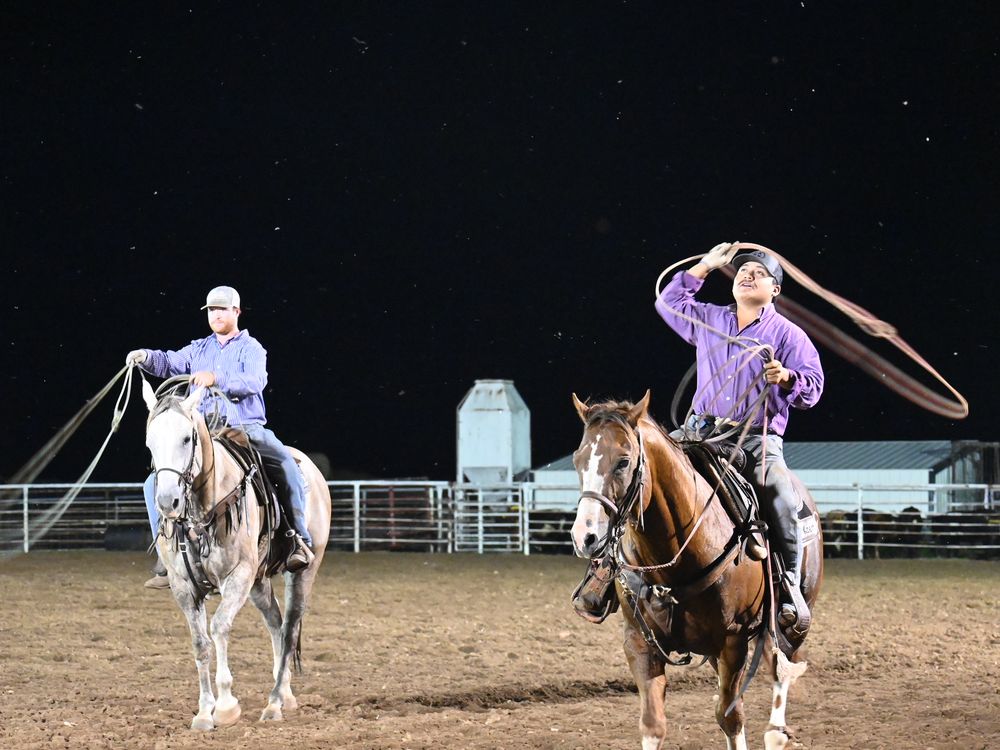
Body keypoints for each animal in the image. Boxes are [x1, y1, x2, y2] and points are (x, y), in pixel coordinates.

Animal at [141, 378, 332, 730]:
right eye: (150, 443)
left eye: (186, 438)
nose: (167, 502)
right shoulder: (184, 587)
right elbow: (200, 642)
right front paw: (204, 712)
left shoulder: (237, 576)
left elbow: (218, 628)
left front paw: (227, 705)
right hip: (258, 582)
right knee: (276, 623)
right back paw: (285, 694)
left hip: (302, 572)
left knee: (290, 628)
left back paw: (273, 704)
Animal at [569, 391, 822, 750]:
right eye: (578, 460)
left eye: (623, 461)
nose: (585, 537)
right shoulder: (638, 642)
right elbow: (653, 724)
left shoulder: (733, 640)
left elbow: (730, 716)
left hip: (794, 620)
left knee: (782, 668)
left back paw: (776, 732)